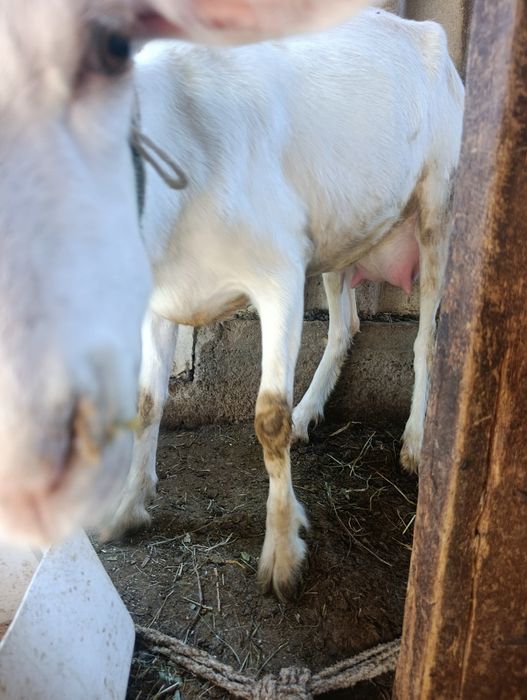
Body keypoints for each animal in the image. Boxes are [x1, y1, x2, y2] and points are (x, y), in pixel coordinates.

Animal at [102, 10, 464, 599]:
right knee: (346, 325)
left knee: (428, 338)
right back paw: (308, 411)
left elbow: (266, 418)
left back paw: (414, 441)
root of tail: (421, 27)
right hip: (343, 234)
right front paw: (127, 507)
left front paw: (281, 555)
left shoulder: (280, 275)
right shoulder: (158, 297)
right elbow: (146, 402)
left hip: (439, 206)